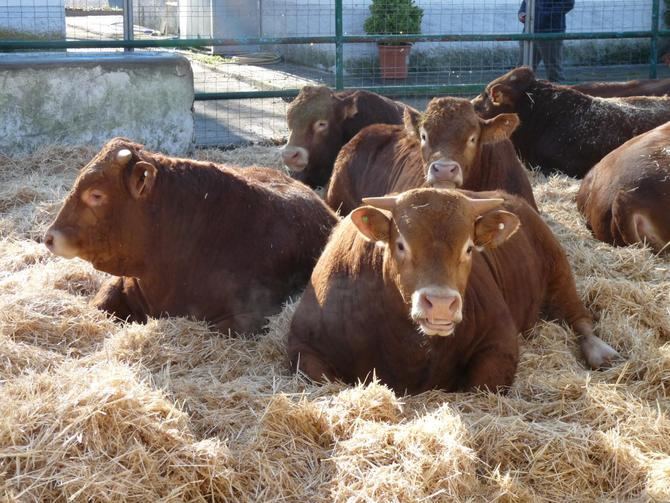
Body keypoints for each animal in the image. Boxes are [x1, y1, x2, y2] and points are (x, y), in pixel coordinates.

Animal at [288, 188, 620, 394]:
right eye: (401, 244)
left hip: (558, 271)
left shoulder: (499, 341)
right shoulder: (303, 345)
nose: (440, 304)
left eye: (469, 247)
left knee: (578, 317)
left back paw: (601, 351)